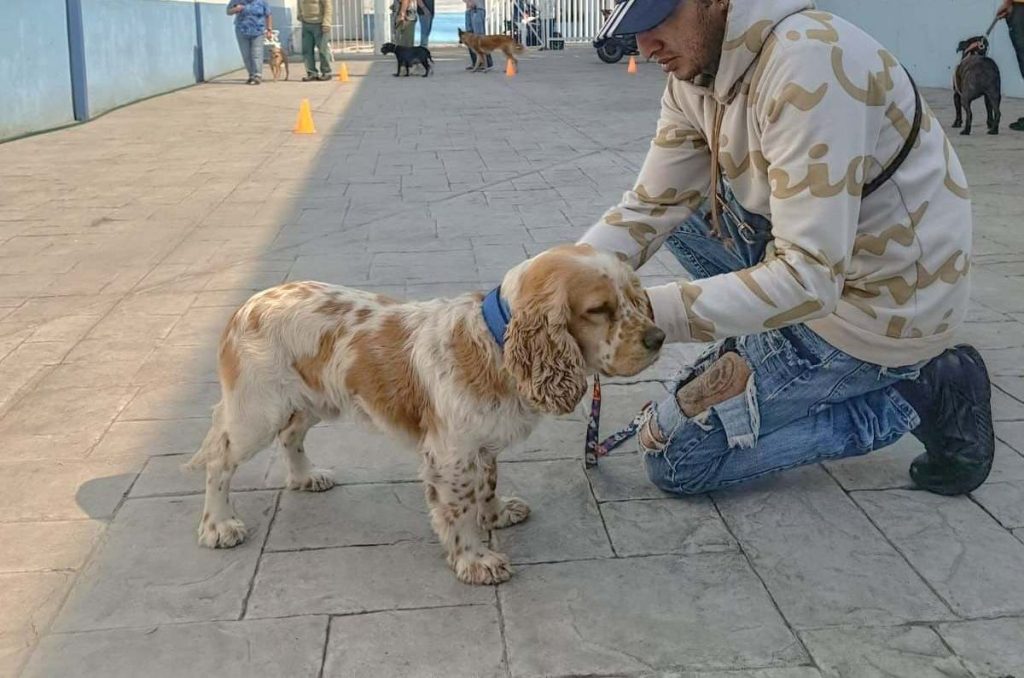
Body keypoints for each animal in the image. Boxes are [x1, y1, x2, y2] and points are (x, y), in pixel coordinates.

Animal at [184, 244, 663, 585]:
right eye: (598, 310)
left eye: (634, 296)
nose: (658, 338)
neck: (496, 344)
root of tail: (245, 307)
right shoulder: (450, 454)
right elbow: (459, 509)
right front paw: (475, 560)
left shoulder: (481, 444)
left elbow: (487, 486)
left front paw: (496, 514)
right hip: (256, 411)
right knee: (219, 460)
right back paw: (219, 525)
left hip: (312, 399)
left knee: (291, 436)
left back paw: (305, 477)